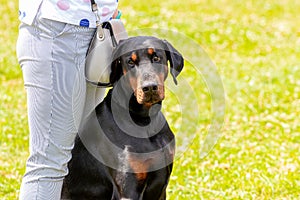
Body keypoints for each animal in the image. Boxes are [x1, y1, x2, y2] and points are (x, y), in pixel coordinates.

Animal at [62, 36, 184, 200]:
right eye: (130, 62)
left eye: (156, 57)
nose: (149, 87)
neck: (145, 121)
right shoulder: (128, 188)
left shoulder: (161, 186)